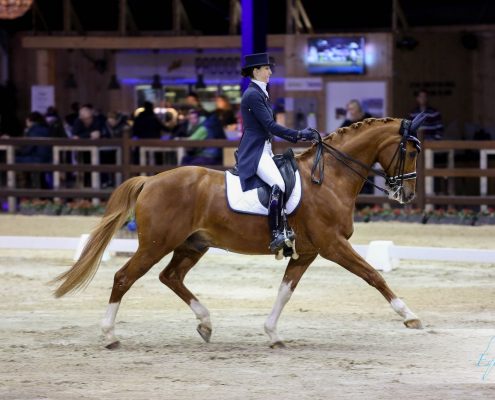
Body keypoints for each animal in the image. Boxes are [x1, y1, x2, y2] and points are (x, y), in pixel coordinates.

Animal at [53, 114, 426, 348]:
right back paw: (109, 336)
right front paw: (410, 316)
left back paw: (205, 323)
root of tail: (151, 180)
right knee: (123, 278)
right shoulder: (332, 245)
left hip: (192, 245)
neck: (330, 178)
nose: (407, 194)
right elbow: (373, 276)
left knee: (171, 277)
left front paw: (272, 334)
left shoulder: (307, 252)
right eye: (410, 151)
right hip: (156, 244)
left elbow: (285, 291)